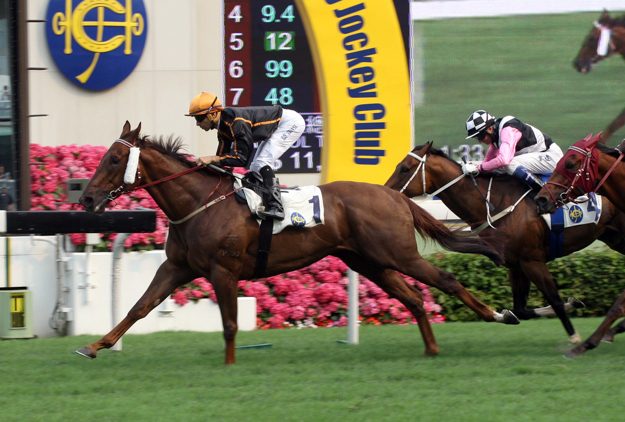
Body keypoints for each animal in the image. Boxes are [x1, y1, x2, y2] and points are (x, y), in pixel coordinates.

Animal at [74, 122, 516, 366]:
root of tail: (394, 195)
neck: (199, 203)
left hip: (398, 253)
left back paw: (499, 315)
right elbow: (139, 307)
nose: (88, 200)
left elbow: (230, 323)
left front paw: (229, 365)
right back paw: (432, 349)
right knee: (413, 298)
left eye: (114, 159)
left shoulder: (223, 270)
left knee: (444, 280)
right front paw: (95, 346)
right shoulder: (177, 267)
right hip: (368, 261)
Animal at [380, 143, 625, 344]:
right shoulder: (516, 265)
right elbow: (522, 310)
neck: (496, 202)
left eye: (405, 168)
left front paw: (574, 337)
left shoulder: (532, 260)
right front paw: (573, 304)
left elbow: (554, 299)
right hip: (614, 237)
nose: (385, 191)